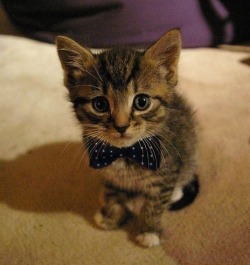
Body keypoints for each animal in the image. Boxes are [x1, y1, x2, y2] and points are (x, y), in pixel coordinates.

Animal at [56, 29, 199, 246]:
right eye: (100, 105)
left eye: (142, 102)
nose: (121, 126)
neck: (125, 153)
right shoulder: (105, 169)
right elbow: (113, 193)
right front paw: (112, 214)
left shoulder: (168, 170)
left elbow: (156, 202)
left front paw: (149, 229)